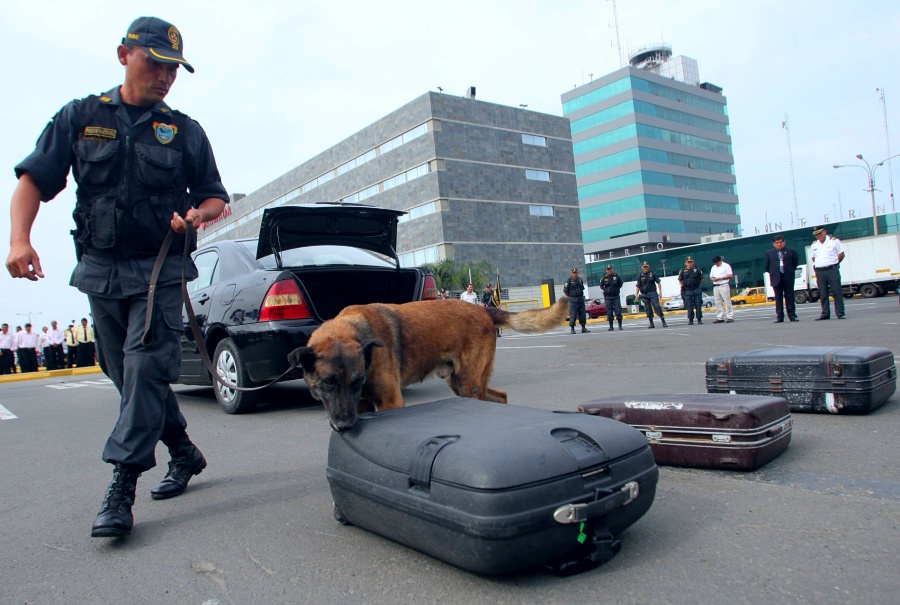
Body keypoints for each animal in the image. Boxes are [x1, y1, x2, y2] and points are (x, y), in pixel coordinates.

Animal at [290, 298, 568, 430]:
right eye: (328, 382)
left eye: (356, 381)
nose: (344, 426)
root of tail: (484, 309)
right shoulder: (360, 405)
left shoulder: (391, 402)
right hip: (461, 383)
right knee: (501, 396)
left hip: (468, 385)